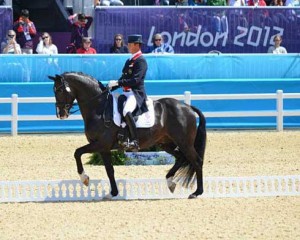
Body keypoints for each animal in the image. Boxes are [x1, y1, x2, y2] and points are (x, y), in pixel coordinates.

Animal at [48, 72, 206, 200]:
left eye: (60, 89)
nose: (61, 114)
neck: (99, 108)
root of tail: (187, 107)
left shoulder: (100, 144)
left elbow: (77, 152)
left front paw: (85, 179)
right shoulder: (103, 149)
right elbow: (109, 170)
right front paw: (113, 193)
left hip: (184, 142)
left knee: (196, 161)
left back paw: (196, 193)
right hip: (166, 143)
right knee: (180, 157)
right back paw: (170, 181)